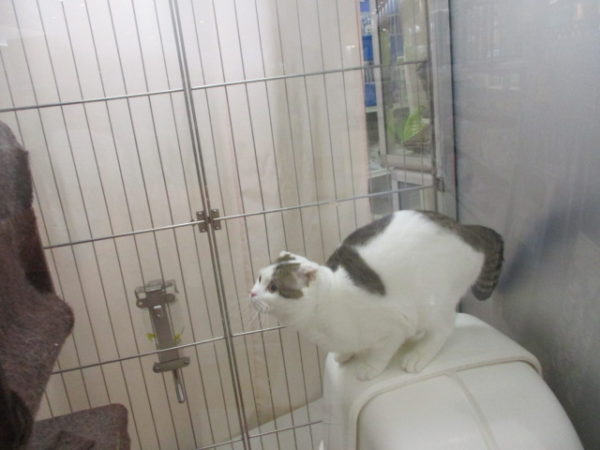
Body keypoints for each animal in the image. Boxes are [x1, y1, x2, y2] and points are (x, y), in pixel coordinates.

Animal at [249, 210, 503, 380]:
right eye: (259, 278)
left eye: (273, 288)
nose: (252, 293)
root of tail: (465, 229)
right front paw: (345, 354)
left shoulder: (394, 328)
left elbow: (381, 353)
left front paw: (369, 368)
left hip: (434, 301)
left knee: (444, 328)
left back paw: (419, 355)